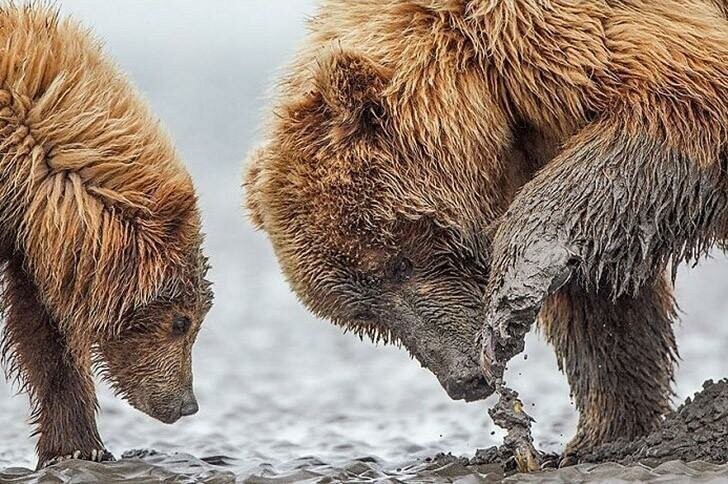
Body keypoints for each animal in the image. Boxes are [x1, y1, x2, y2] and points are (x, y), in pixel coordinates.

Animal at [0, 2, 213, 466]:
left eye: (194, 319)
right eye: (181, 322)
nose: (188, 404)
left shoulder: (29, 243)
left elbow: (46, 333)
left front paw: (80, 446)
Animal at [245, 0, 728, 458]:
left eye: (398, 263)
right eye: (363, 313)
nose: (464, 378)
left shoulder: (568, 40)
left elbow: (680, 100)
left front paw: (511, 297)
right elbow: (602, 293)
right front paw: (601, 434)